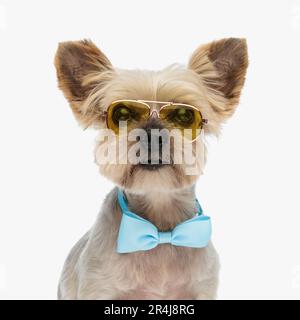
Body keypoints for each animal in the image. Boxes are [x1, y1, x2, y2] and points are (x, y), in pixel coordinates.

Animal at [54, 38, 248, 300]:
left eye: (185, 115)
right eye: (122, 114)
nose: (152, 135)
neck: (160, 231)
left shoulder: (203, 287)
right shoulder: (97, 287)